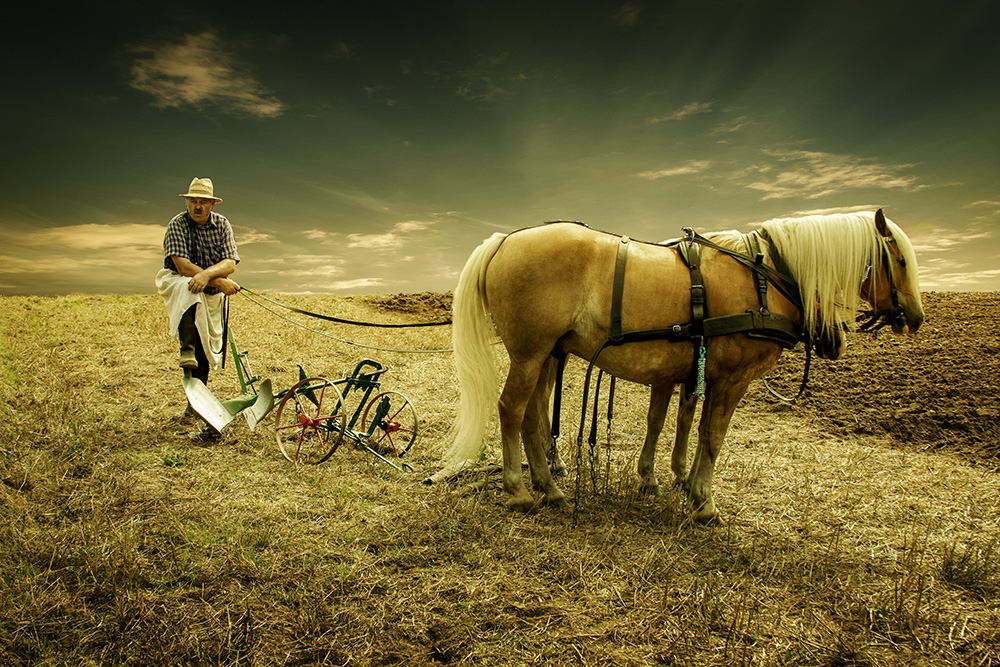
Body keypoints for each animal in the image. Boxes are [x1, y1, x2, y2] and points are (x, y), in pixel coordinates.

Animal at [446, 209, 920, 520]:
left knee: (533, 414)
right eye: (898, 260)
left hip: (545, 353)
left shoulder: (697, 372)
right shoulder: (732, 378)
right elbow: (713, 435)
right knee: (512, 409)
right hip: (531, 352)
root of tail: (506, 239)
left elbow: (683, 423)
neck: (764, 278)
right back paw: (519, 491)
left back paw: (550, 487)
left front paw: (680, 481)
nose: (915, 317)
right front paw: (704, 502)